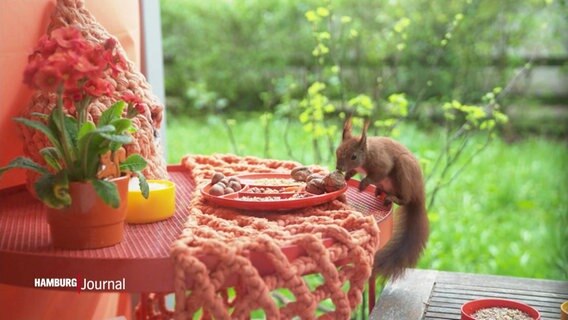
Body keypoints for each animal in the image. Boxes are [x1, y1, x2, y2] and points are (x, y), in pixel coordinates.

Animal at [336, 117, 428, 280]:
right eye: (337, 150)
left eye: (353, 156)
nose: (339, 168)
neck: (367, 152)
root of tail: (419, 195)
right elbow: (353, 172)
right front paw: (347, 176)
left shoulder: (382, 163)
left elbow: (378, 173)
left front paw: (363, 183)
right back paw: (379, 191)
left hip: (404, 171)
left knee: (405, 199)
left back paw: (392, 198)